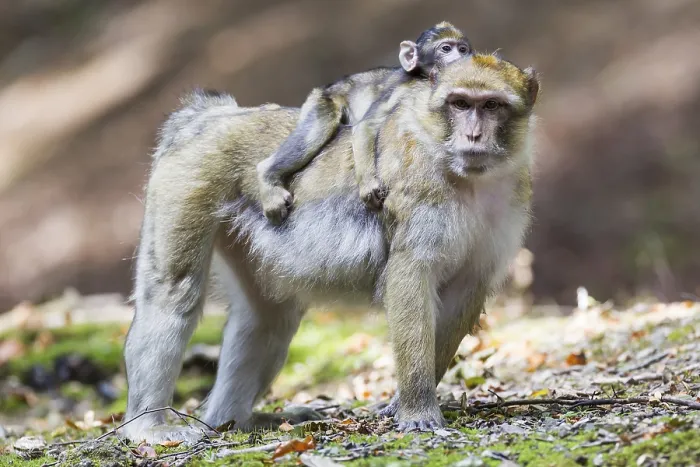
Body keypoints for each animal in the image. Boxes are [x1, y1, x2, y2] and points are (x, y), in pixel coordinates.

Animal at [120, 53, 540, 444]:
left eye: (491, 106)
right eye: (460, 104)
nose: (473, 136)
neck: (467, 178)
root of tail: (211, 115)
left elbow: (465, 292)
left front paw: (398, 403)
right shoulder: (420, 199)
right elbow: (409, 279)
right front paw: (417, 408)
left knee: (268, 319)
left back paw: (234, 420)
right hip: (188, 181)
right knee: (173, 293)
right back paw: (148, 425)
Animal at [256, 21, 472, 224]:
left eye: (463, 49)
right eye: (446, 49)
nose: (461, 59)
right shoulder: (404, 87)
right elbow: (366, 125)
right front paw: (368, 184)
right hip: (323, 100)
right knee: (319, 126)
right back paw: (267, 175)